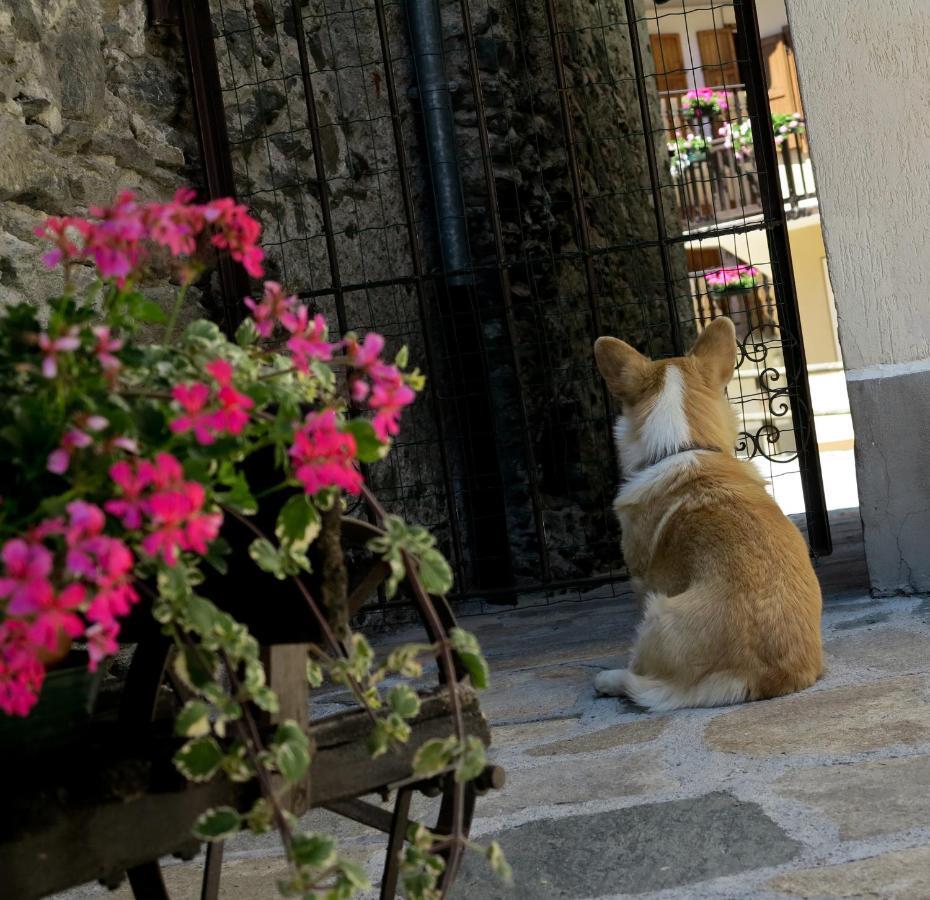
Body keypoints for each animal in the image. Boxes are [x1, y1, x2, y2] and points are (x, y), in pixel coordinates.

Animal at [596, 316, 820, 712]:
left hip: (655, 614)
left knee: (640, 679)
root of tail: (758, 678)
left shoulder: (641, 581)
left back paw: (609, 679)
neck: (681, 445)